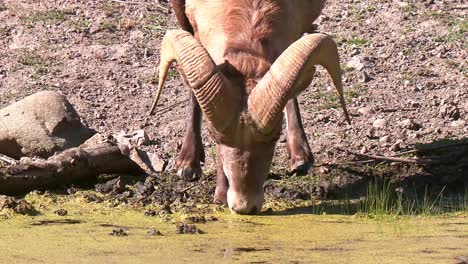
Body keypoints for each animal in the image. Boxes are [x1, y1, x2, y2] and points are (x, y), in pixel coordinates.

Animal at [151, 0, 352, 214]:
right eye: (214, 136)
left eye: (275, 137)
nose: (244, 205)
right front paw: (218, 194)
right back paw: (188, 164)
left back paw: (300, 158)